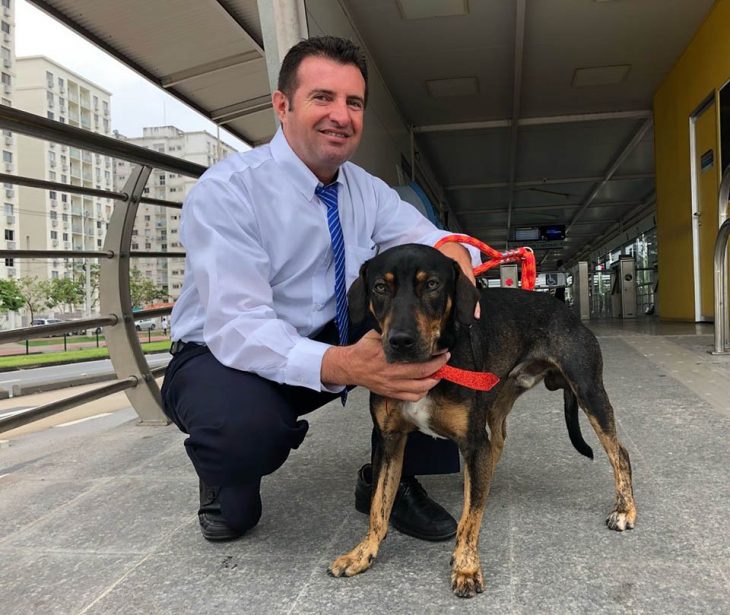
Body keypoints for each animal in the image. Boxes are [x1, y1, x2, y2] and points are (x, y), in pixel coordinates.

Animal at [328, 244, 636, 596]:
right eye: (380, 287)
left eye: (432, 284)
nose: (400, 341)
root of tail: (565, 309)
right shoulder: (388, 441)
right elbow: (378, 506)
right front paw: (363, 552)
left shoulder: (473, 442)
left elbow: (470, 518)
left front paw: (466, 566)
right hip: (498, 399)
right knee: (498, 440)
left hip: (588, 390)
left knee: (619, 452)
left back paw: (625, 510)